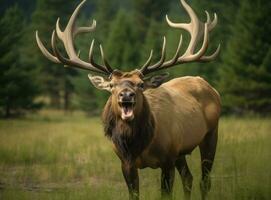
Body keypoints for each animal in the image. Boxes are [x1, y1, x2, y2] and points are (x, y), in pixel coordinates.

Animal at [35, 0, 221, 199]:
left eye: (141, 84)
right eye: (111, 85)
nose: (126, 95)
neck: (138, 146)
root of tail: (211, 88)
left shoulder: (168, 158)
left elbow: (166, 194)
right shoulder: (126, 163)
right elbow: (134, 194)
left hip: (210, 134)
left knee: (204, 181)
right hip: (182, 152)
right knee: (188, 178)